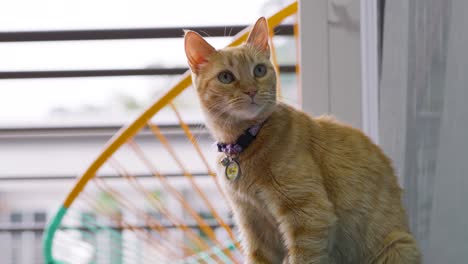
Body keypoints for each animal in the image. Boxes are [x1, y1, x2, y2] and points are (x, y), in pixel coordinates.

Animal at [183, 17, 420, 262]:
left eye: (259, 70)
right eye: (226, 77)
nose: (251, 91)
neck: (247, 140)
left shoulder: (309, 216)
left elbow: (304, 257)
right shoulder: (254, 224)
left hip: (398, 246)